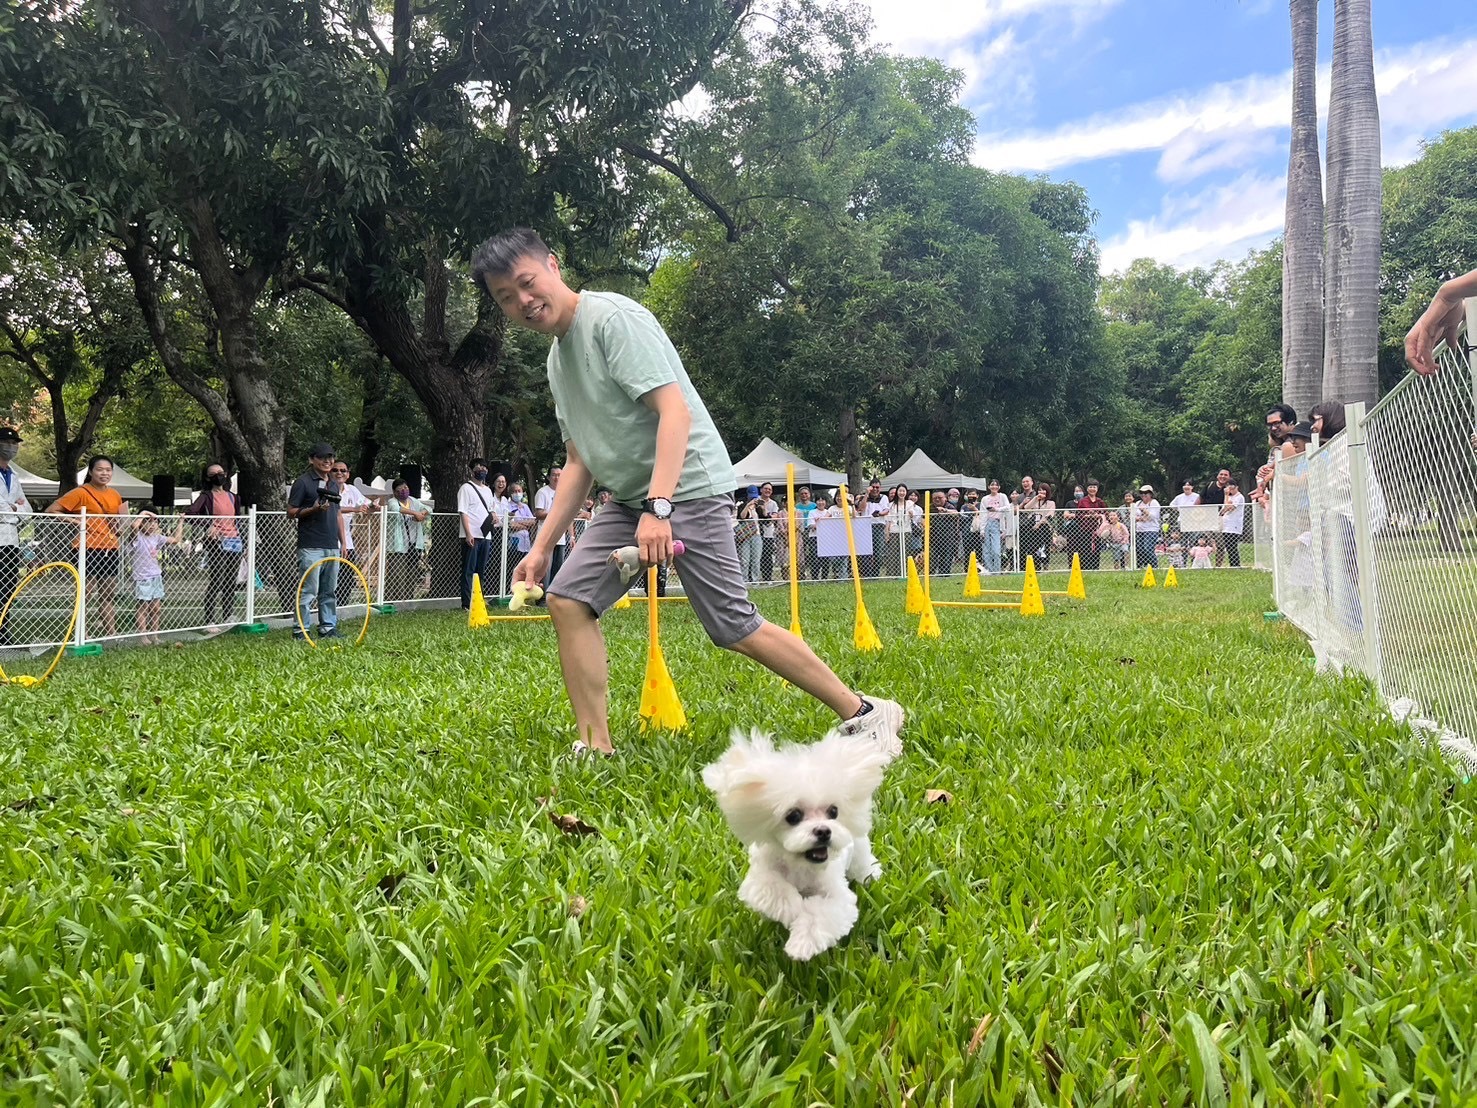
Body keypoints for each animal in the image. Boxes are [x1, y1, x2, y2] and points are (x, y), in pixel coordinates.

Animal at [703, 729, 898, 963]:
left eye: (833, 811)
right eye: (793, 816)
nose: (823, 831)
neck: (800, 864)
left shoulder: (837, 897)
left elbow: (820, 915)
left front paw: (801, 944)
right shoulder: (760, 878)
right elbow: (776, 890)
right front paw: (794, 908)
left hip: (858, 851)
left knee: (863, 866)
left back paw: (871, 876)